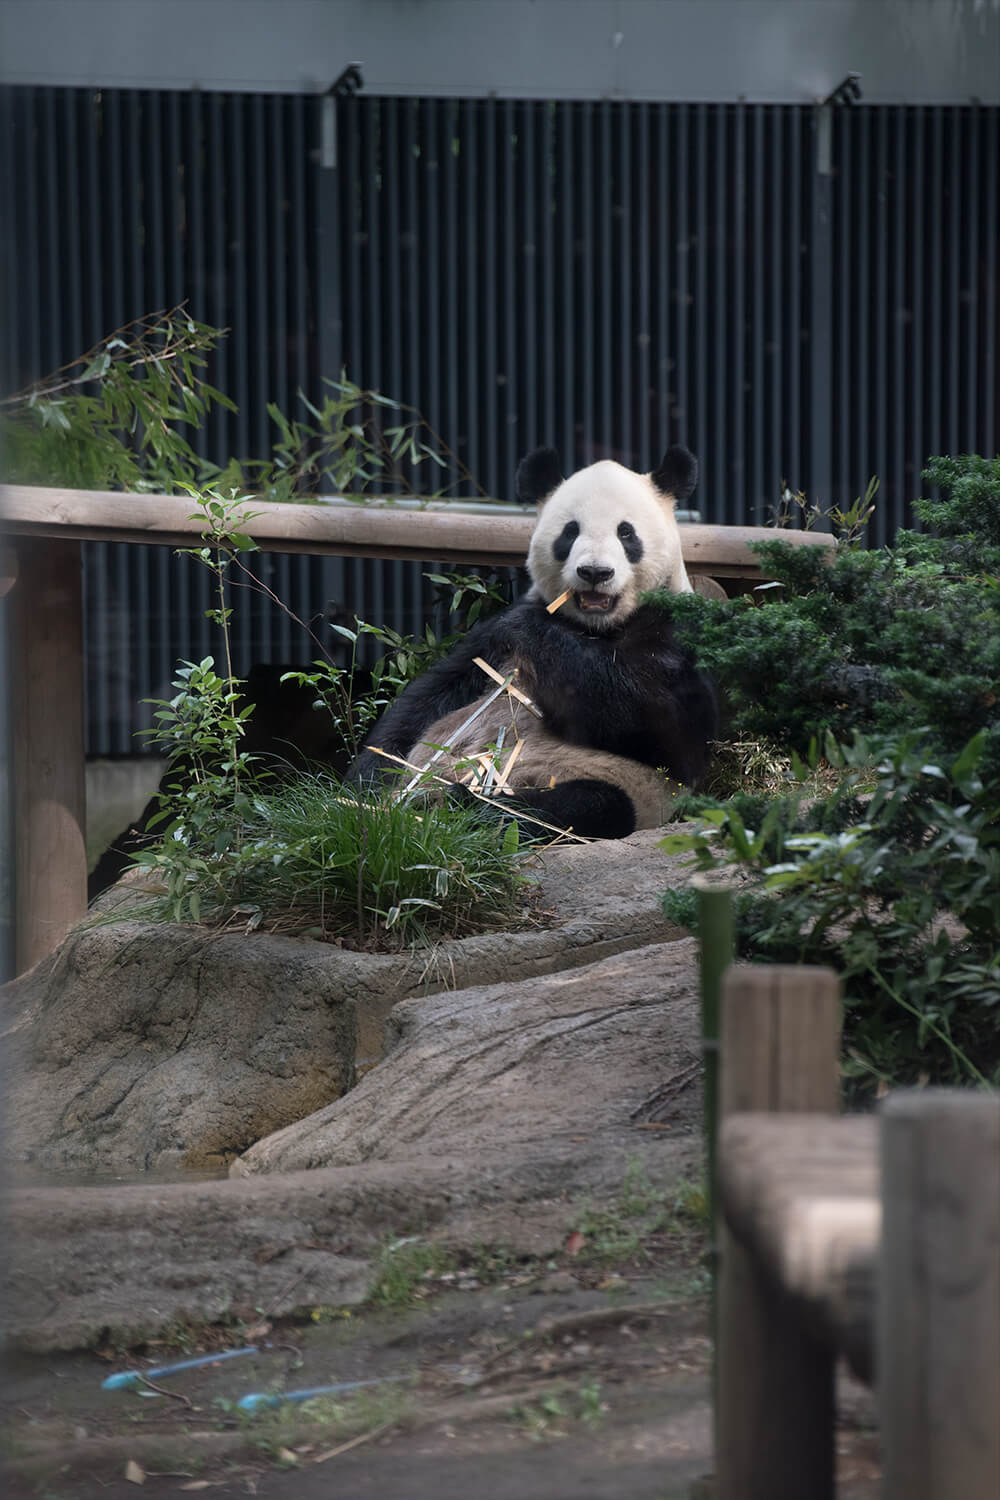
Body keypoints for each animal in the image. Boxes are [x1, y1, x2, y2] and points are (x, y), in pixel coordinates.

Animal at [346, 444, 719, 846]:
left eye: (627, 533)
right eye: (570, 532)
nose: (595, 572)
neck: (595, 627)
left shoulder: (679, 633)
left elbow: (664, 727)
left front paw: (535, 630)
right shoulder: (488, 645)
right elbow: (428, 699)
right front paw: (361, 781)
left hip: (614, 787)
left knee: (578, 807)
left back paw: (465, 804)